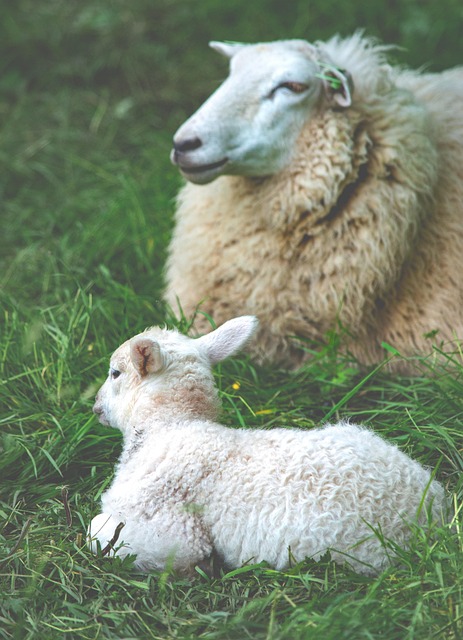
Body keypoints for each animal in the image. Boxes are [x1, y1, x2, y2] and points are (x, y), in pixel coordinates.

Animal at [88, 315, 447, 576]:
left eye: (115, 373)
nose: (95, 407)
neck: (172, 425)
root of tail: (430, 516)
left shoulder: (168, 528)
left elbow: (98, 532)